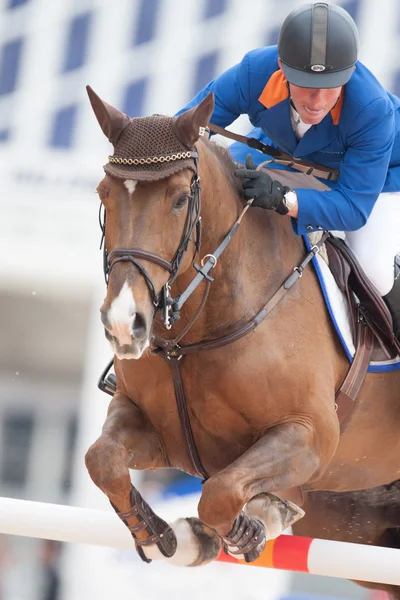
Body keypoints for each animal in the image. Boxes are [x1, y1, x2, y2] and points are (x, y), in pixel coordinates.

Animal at [85, 86, 400, 580]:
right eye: (105, 194)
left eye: (180, 199)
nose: (124, 324)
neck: (190, 338)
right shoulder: (150, 425)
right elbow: (102, 460)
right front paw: (159, 535)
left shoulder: (310, 434)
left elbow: (220, 494)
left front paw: (247, 529)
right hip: (354, 522)